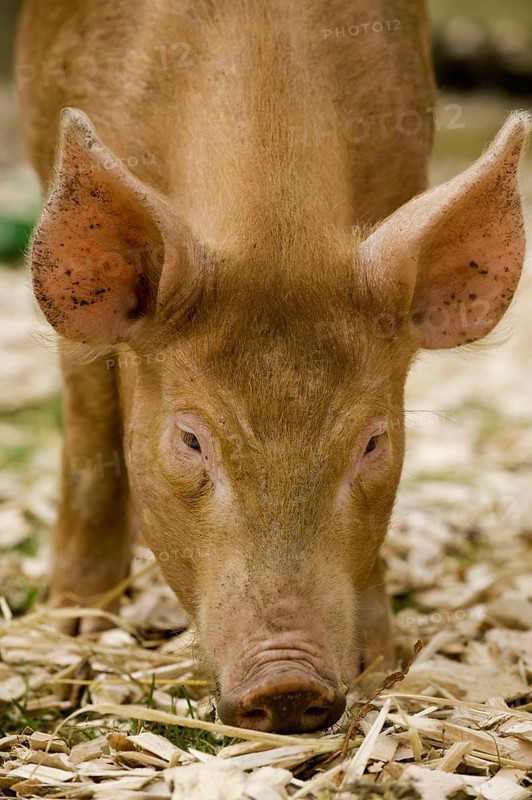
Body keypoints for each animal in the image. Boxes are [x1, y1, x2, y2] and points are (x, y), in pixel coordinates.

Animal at [16, 0, 529, 733]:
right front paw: (71, 639)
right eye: (189, 439)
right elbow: (91, 430)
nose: (287, 684)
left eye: (374, 442)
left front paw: (379, 661)